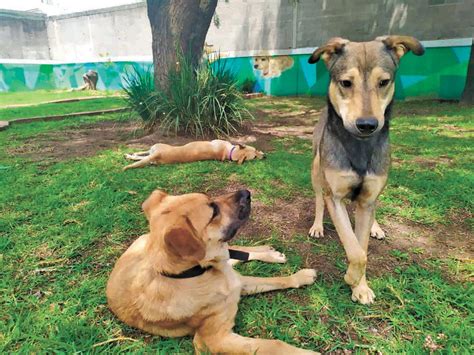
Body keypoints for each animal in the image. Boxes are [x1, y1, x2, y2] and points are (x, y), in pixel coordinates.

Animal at [105, 189, 316, 354]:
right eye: (213, 211)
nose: (247, 192)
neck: (197, 273)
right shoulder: (213, 339)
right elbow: (275, 345)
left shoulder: (239, 283)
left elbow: (278, 279)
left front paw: (301, 275)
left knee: (238, 253)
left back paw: (269, 253)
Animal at [308, 36, 426, 306]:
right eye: (345, 83)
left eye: (383, 82)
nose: (367, 125)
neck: (359, 147)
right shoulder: (336, 197)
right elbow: (356, 250)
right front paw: (352, 278)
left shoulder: (367, 199)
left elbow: (361, 248)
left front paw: (359, 286)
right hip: (317, 171)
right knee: (319, 199)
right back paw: (318, 226)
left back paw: (376, 227)